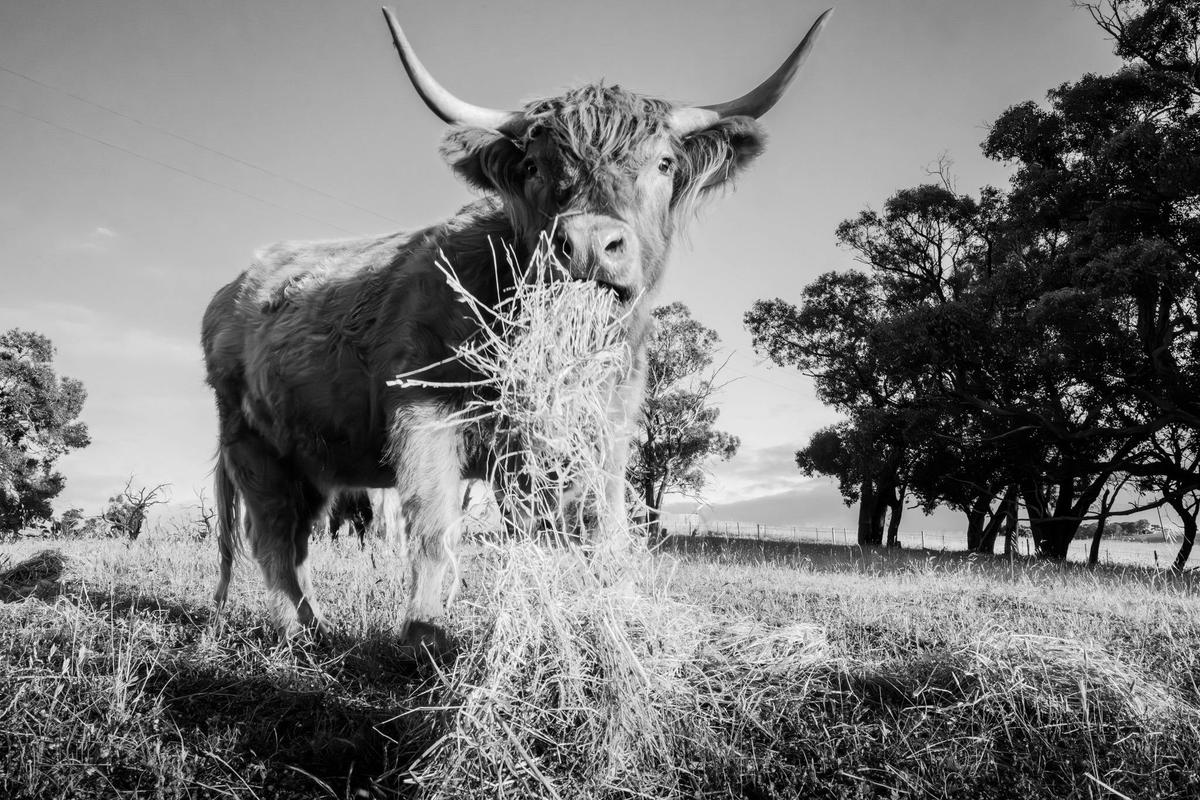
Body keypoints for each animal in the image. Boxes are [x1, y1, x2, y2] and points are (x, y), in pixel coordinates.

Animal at [202, 7, 831, 647]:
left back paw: (312, 625)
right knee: (274, 538)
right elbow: (434, 530)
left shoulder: (601, 434)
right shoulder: (422, 414)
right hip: (254, 446)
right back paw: (303, 630)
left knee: (299, 539)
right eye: (532, 165)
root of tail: (241, 280)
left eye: (664, 163)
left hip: (312, 459)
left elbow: (597, 531)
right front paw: (425, 632)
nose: (587, 244)